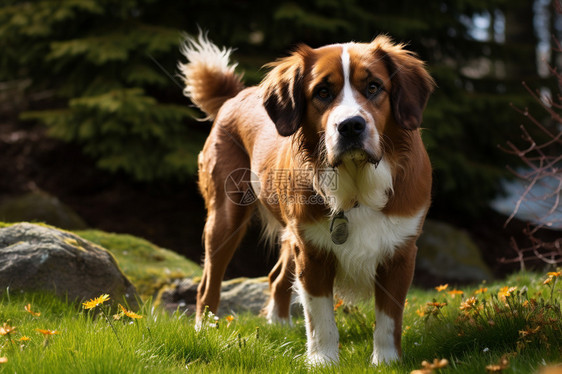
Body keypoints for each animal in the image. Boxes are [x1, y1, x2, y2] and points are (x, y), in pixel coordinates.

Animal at [178, 33, 434, 366]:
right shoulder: (313, 251)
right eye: (322, 92)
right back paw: (204, 329)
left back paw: (279, 325)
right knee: (208, 284)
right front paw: (323, 361)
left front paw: (387, 362)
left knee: (275, 277)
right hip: (226, 218)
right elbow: (320, 316)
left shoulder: (400, 251)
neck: (356, 185)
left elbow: (389, 319)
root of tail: (237, 95)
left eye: (374, 87)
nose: (351, 125)